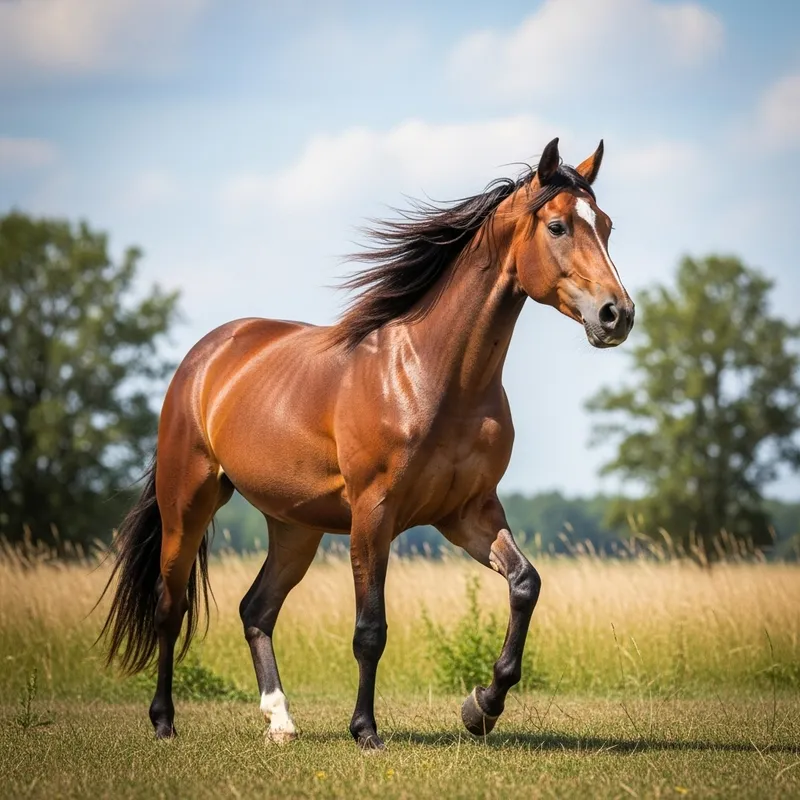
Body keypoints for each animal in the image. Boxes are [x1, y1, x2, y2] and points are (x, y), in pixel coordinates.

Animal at [99, 137, 634, 750]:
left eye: (607, 225)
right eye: (558, 226)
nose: (617, 315)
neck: (433, 376)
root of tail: (204, 356)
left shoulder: (467, 513)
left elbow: (525, 583)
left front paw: (481, 707)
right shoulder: (373, 514)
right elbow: (370, 629)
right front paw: (366, 731)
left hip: (295, 527)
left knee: (256, 609)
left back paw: (280, 721)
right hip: (187, 506)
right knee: (171, 606)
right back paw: (164, 721)